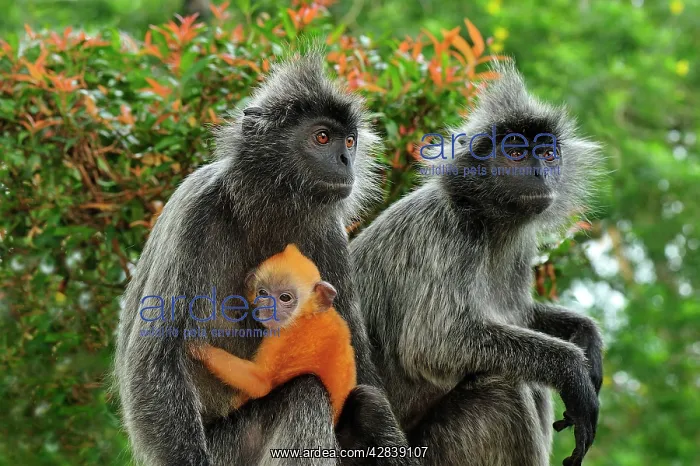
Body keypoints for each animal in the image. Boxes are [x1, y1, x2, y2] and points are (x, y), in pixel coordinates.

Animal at [188, 244, 357, 425]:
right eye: (262, 293)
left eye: (285, 297)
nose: (268, 310)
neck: (305, 317)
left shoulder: (282, 336)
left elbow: (261, 383)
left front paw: (201, 350)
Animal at [350, 61, 604, 466]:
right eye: (516, 154)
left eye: (548, 155)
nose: (539, 173)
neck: (485, 219)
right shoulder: (446, 232)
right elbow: (435, 343)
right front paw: (574, 370)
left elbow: (519, 315)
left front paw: (587, 336)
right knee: (505, 385)